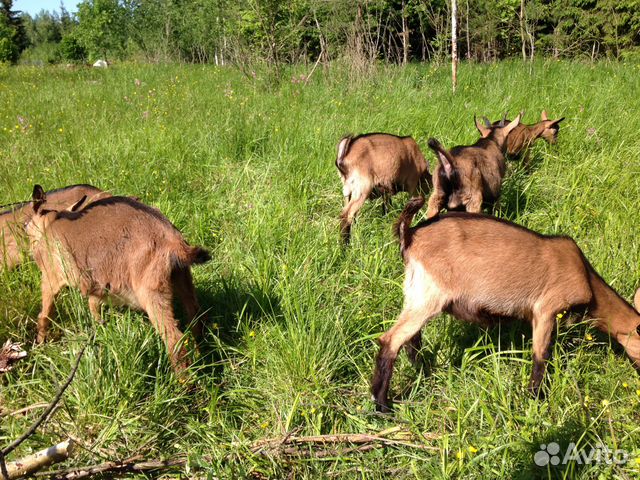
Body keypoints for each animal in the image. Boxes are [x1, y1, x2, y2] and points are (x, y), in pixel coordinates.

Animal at [25, 184, 210, 372]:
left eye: (27, 224)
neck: (51, 224)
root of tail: (173, 240)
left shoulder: (51, 277)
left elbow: (44, 314)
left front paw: (40, 345)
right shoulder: (98, 285)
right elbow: (94, 307)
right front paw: (100, 329)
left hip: (151, 290)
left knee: (175, 339)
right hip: (182, 278)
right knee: (196, 317)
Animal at [372, 196, 640, 412]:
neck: (586, 279)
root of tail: (411, 235)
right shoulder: (545, 309)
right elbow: (541, 357)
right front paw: (535, 400)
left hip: (416, 292)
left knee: (411, 338)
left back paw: (422, 371)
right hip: (431, 293)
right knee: (390, 340)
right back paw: (382, 405)